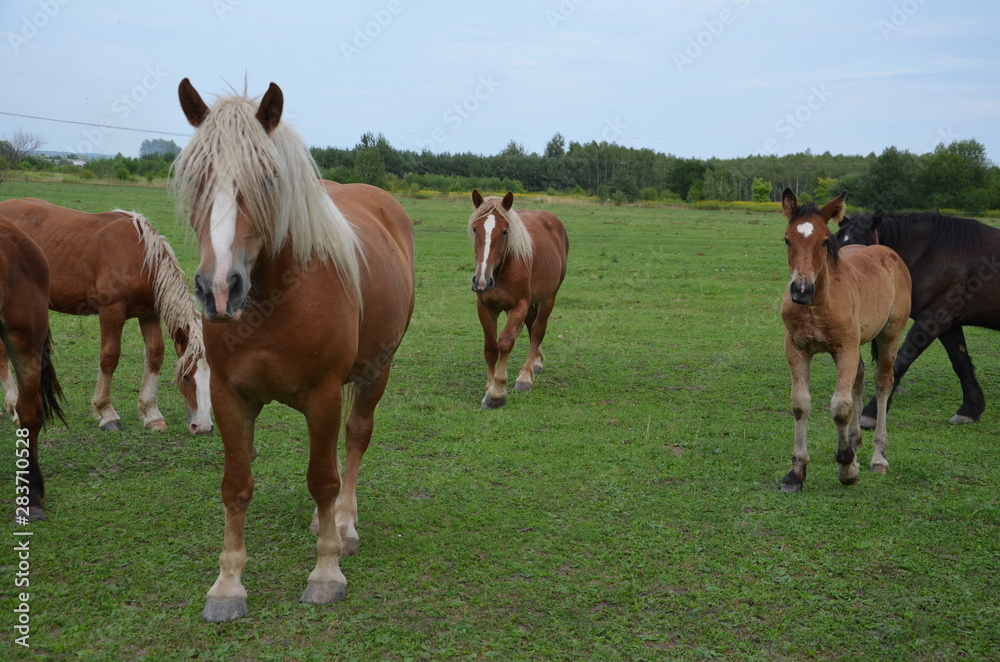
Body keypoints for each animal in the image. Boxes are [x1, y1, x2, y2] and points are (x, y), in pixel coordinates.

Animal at [0, 199, 212, 435]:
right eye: (185, 376)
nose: (203, 427)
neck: (139, 256)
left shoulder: (149, 313)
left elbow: (155, 354)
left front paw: (151, 414)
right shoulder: (112, 311)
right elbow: (109, 357)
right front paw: (107, 413)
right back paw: (14, 408)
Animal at [172, 78, 415, 622]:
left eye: (267, 179)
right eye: (196, 177)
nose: (219, 290)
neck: (274, 298)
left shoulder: (323, 396)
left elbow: (323, 479)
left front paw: (326, 573)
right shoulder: (230, 397)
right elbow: (236, 485)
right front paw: (227, 586)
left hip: (376, 372)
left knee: (355, 439)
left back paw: (343, 525)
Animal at [468, 190, 569, 409]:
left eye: (505, 232)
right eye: (475, 229)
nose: (481, 281)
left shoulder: (519, 306)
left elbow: (505, 342)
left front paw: (497, 393)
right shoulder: (485, 307)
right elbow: (490, 348)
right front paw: (489, 386)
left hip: (549, 296)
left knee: (538, 329)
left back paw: (526, 376)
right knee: (531, 325)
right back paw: (536, 362)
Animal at [779, 189, 911, 493]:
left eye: (826, 240)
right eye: (787, 239)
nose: (801, 290)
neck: (817, 305)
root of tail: (887, 252)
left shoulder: (845, 349)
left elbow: (840, 407)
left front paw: (847, 468)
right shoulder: (796, 348)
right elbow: (800, 404)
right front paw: (796, 472)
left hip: (889, 334)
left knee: (883, 382)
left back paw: (878, 457)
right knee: (859, 379)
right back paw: (855, 441)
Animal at [836, 209, 1000, 426]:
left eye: (861, 245)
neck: (934, 254)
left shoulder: (934, 319)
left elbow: (902, 360)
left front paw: (871, 412)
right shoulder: (949, 325)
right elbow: (961, 362)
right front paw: (970, 408)